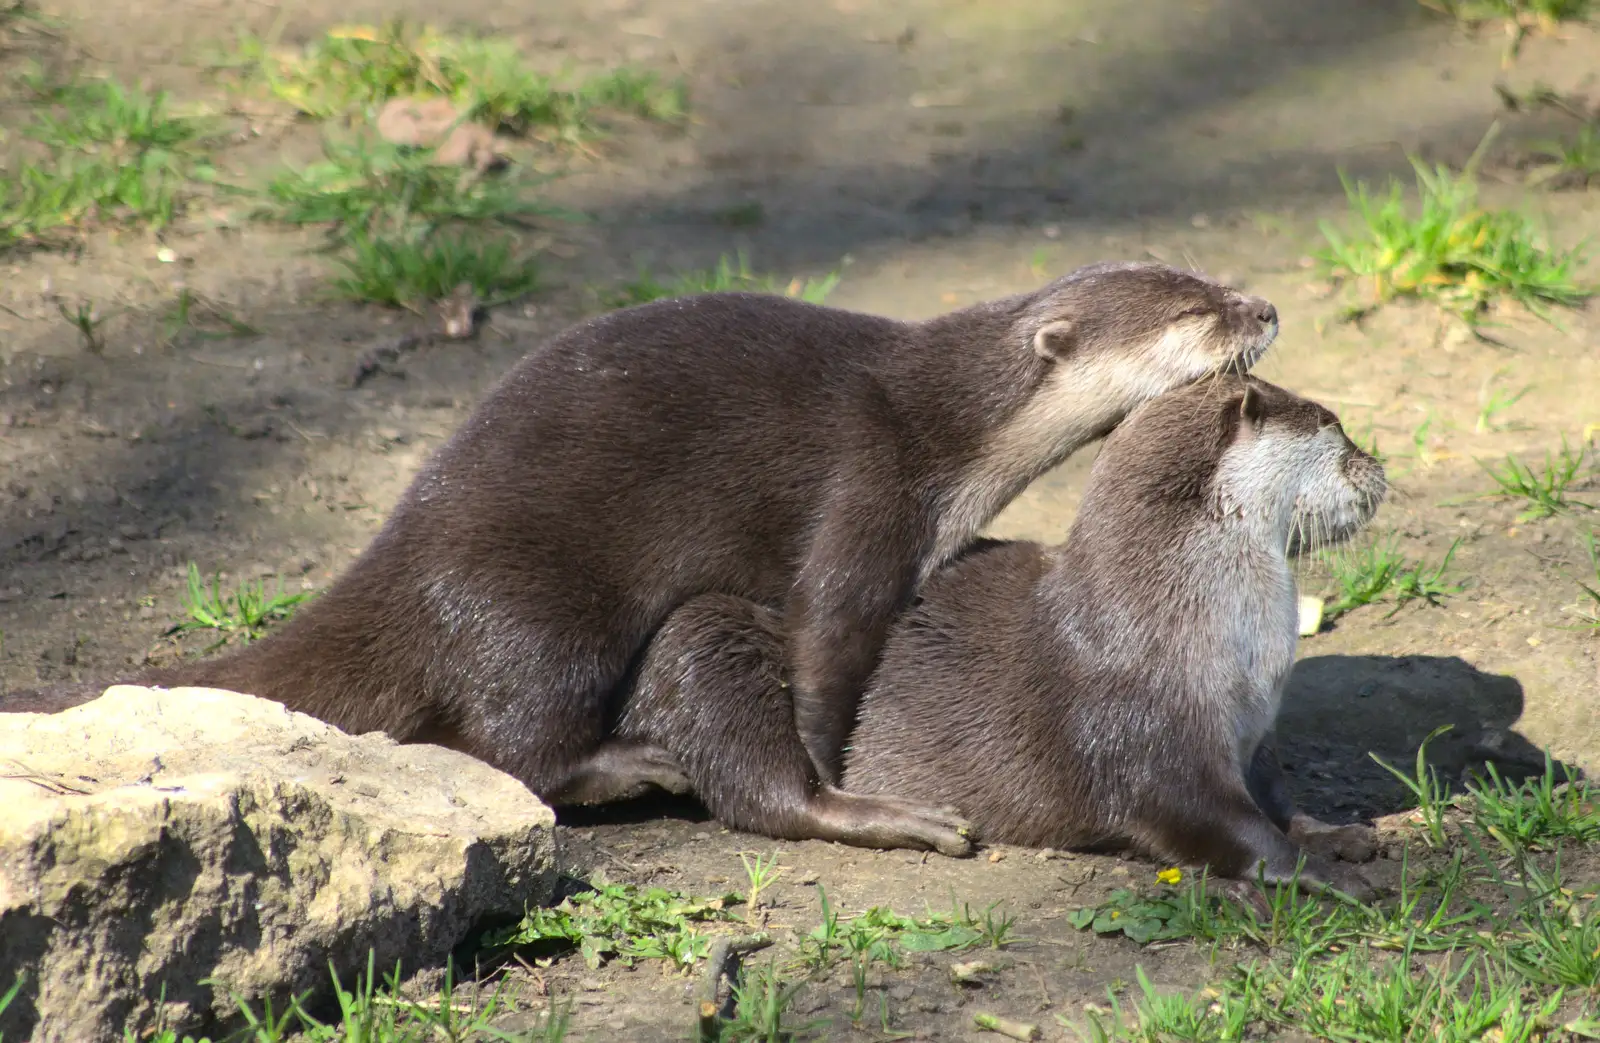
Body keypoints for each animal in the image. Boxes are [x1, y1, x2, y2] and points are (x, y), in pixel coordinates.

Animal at [0, 265, 1273, 857]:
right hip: (543, 611)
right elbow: (826, 638)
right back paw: (644, 767)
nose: (1262, 307)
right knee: (508, 747)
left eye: (1214, 282)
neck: (950, 428)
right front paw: (834, 769)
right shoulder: (868, 488)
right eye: (1192, 313)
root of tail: (402, 553)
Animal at [611, 377, 1388, 895]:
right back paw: (915, 821)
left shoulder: (1255, 730)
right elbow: (1215, 820)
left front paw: (1335, 834)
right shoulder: (1150, 732)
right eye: (1332, 422)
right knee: (772, 795)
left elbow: (1278, 800)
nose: (1378, 466)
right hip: (699, 638)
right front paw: (1318, 873)